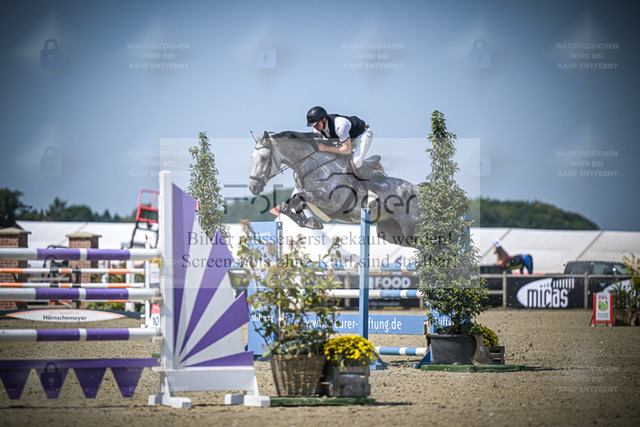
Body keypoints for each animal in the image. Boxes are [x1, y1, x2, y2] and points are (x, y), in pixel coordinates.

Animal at [248, 130, 423, 247]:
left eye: (264, 158)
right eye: (252, 158)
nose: (253, 187)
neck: (313, 166)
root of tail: (418, 190)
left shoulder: (328, 200)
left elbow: (298, 198)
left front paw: (310, 222)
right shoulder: (313, 201)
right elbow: (288, 205)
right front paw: (310, 222)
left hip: (412, 230)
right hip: (391, 234)